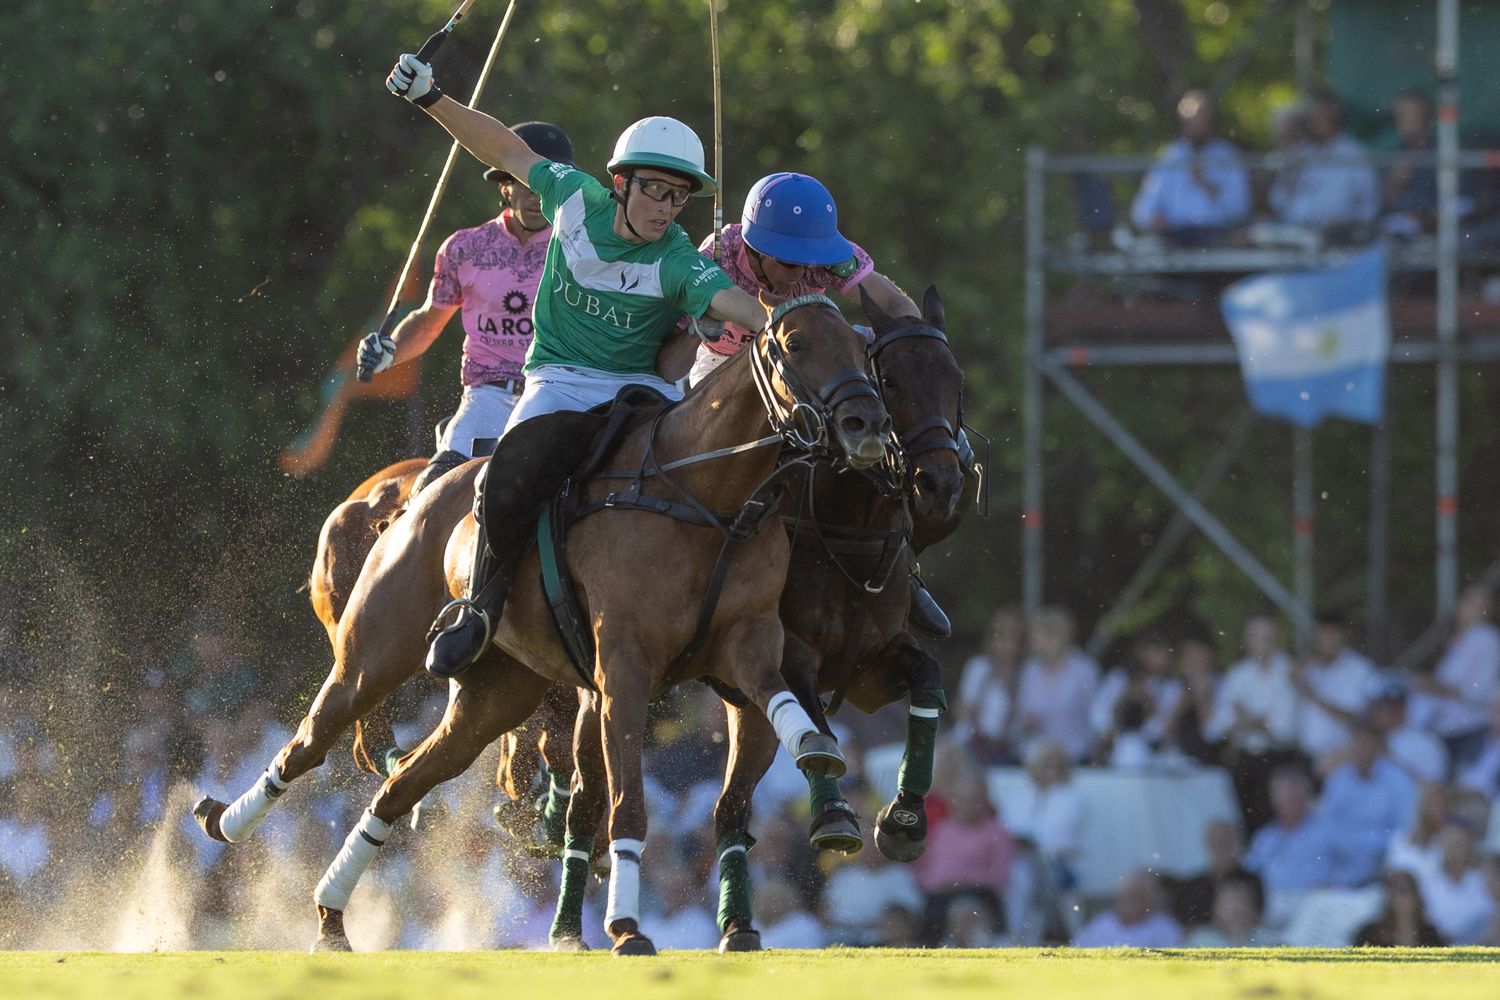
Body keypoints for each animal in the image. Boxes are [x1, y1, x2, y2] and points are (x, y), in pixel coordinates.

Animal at [555, 283, 972, 953]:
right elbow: (817, 722)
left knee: (728, 809)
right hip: (603, 688)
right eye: (890, 378)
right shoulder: (792, 650)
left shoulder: (868, 668)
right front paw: (834, 815)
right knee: (585, 796)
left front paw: (905, 818)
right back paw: (572, 921)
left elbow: (928, 675)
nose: (939, 484)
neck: (849, 527)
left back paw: (736, 924)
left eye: (957, 382)